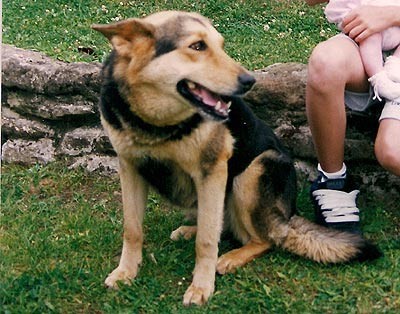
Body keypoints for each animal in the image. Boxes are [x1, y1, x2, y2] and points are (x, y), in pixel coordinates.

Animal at [91, 11, 382, 306]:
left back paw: (230, 257)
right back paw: (190, 230)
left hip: (253, 172)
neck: (157, 125)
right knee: (222, 224)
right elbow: (132, 229)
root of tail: (287, 215)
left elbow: (207, 241)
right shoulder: (130, 168)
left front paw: (201, 286)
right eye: (198, 46)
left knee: (263, 238)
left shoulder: (213, 171)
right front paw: (125, 272)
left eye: (220, 46)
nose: (249, 82)